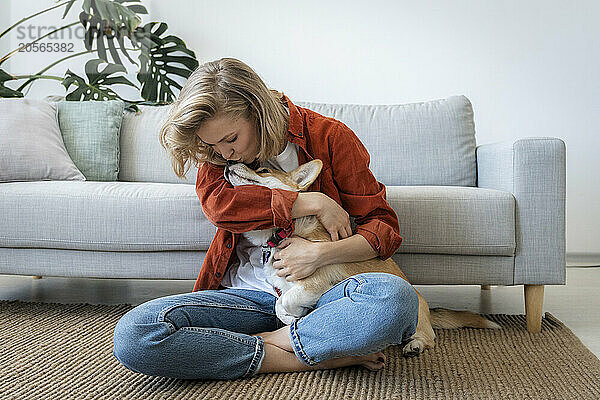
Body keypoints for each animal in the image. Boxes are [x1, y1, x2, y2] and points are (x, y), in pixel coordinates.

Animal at [223, 159, 500, 356]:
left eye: (262, 169)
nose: (226, 164)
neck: (283, 230)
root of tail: (429, 309)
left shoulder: (313, 283)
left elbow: (284, 302)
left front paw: (294, 317)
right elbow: (280, 305)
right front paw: (293, 318)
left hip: (414, 315)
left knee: (429, 337)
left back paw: (416, 345)